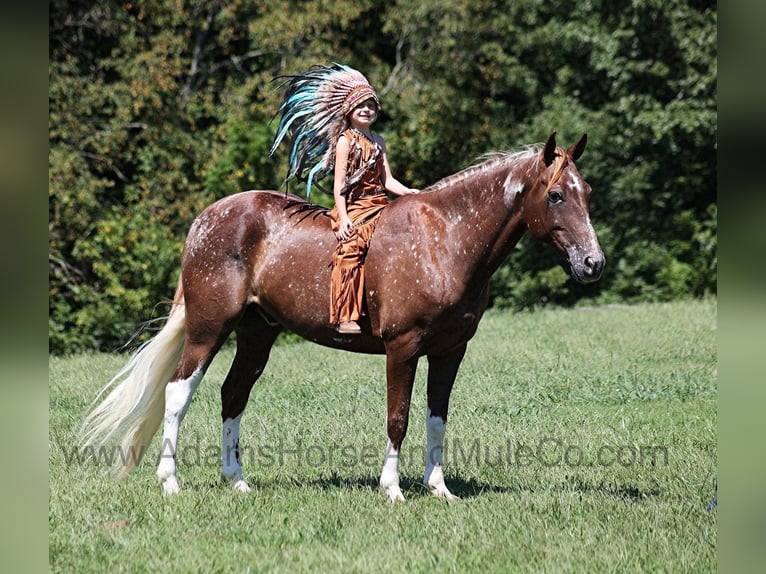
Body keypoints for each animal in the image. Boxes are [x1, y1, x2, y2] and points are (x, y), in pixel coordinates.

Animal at [81, 131, 604, 503]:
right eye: (556, 195)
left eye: (587, 191)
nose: (592, 264)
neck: (445, 239)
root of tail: (205, 220)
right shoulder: (402, 347)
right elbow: (399, 418)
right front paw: (393, 490)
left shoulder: (450, 352)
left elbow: (437, 418)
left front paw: (440, 489)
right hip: (209, 329)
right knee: (179, 392)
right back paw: (170, 482)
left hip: (257, 333)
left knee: (233, 395)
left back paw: (237, 481)